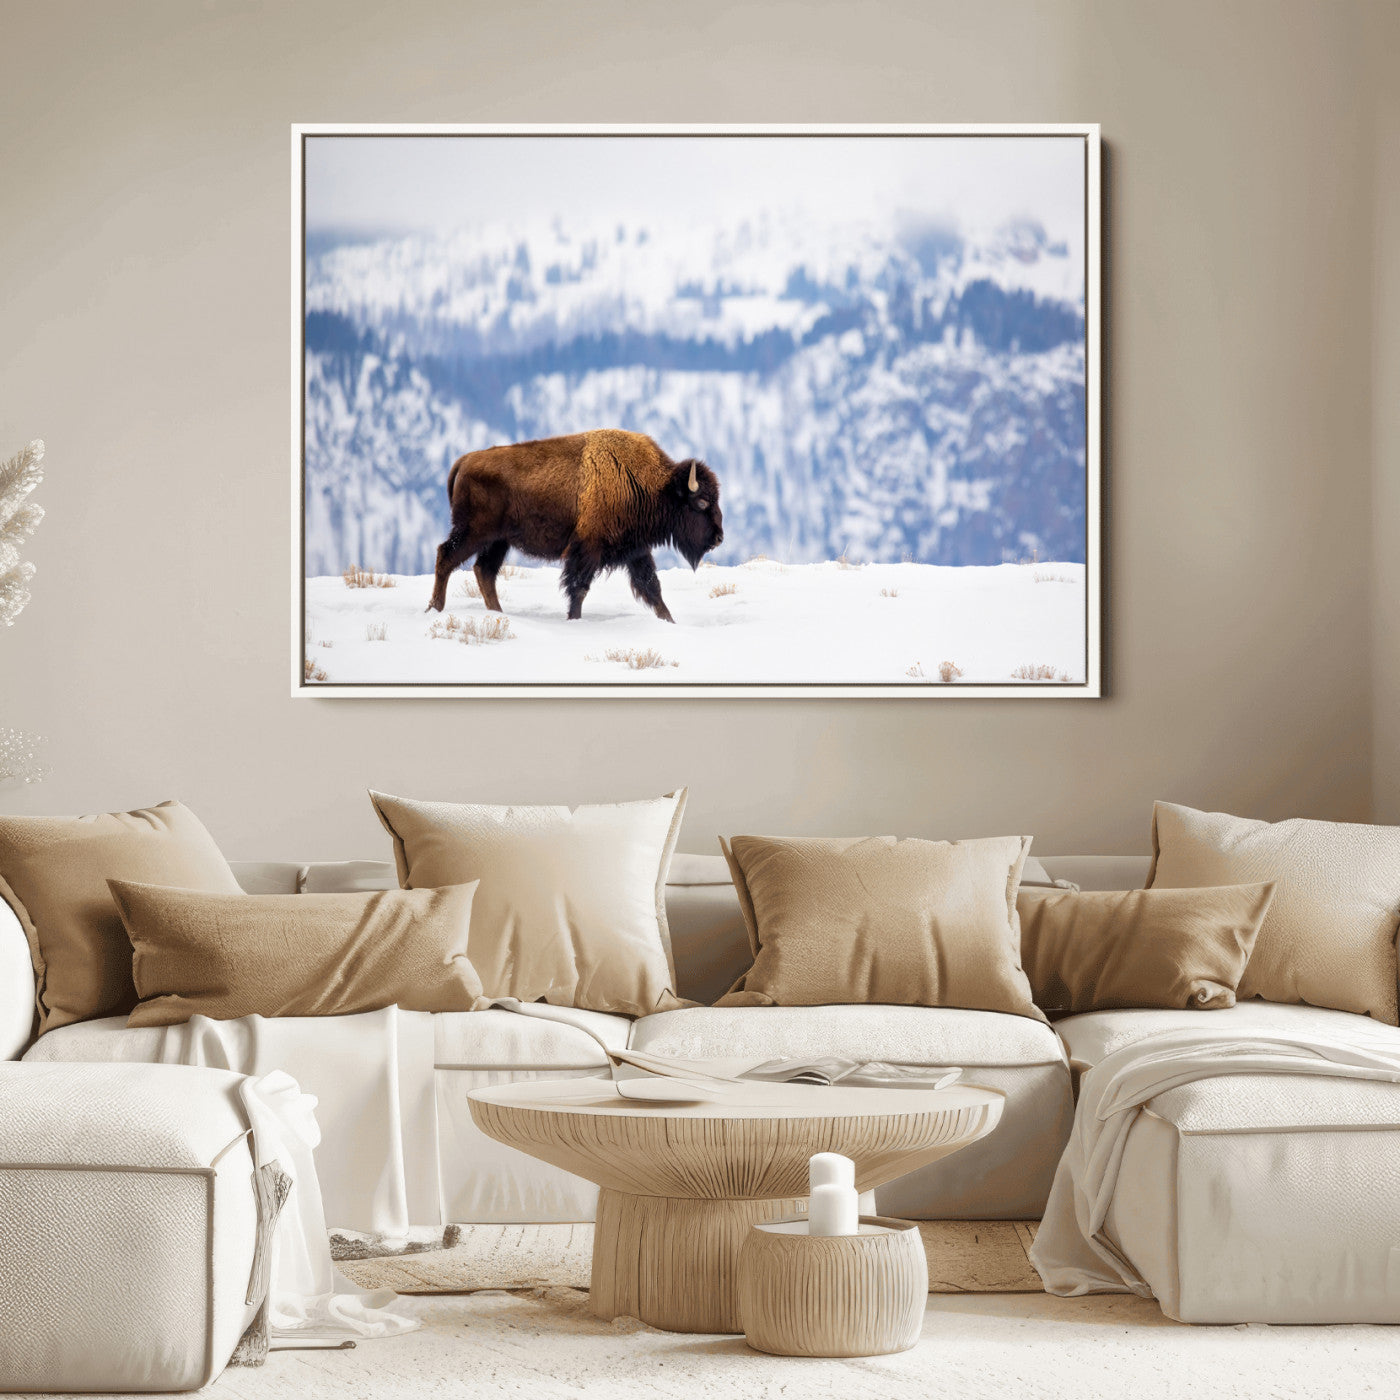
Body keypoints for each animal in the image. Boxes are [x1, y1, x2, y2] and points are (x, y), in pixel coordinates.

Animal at [426, 430, 723, 622]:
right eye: (702, 502)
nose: (719, 538)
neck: (650, 485)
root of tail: (464, 461)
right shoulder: (587, 550)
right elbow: (579, 588)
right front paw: (574, 620)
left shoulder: (636, 551)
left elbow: (652, 588)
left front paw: (670, 621)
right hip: (474, 532)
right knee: (447, 556)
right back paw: (435, 609)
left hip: (498, 541)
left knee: (484, 570)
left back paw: (496, 613)